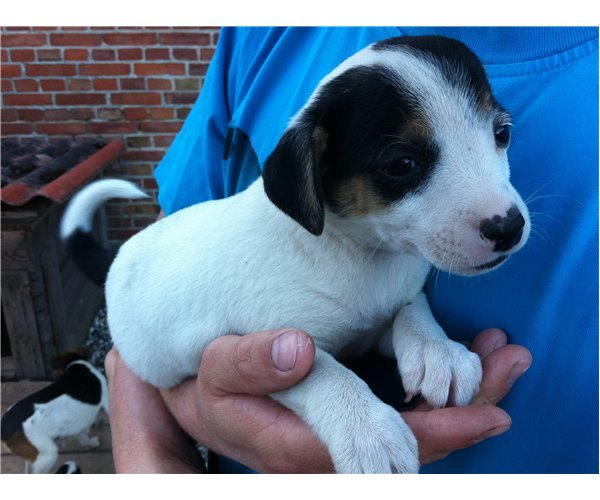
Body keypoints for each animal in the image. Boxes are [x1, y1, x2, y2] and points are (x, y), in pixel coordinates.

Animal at [60, 36, 530, 473]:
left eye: (502, 133)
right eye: (401, 165)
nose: (508, 227)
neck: (357, 252)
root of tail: (121, 252)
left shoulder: (381, 316)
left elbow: (411, 310)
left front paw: (437, 352)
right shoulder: (270, 341)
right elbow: (325, 374)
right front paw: (369, 431)